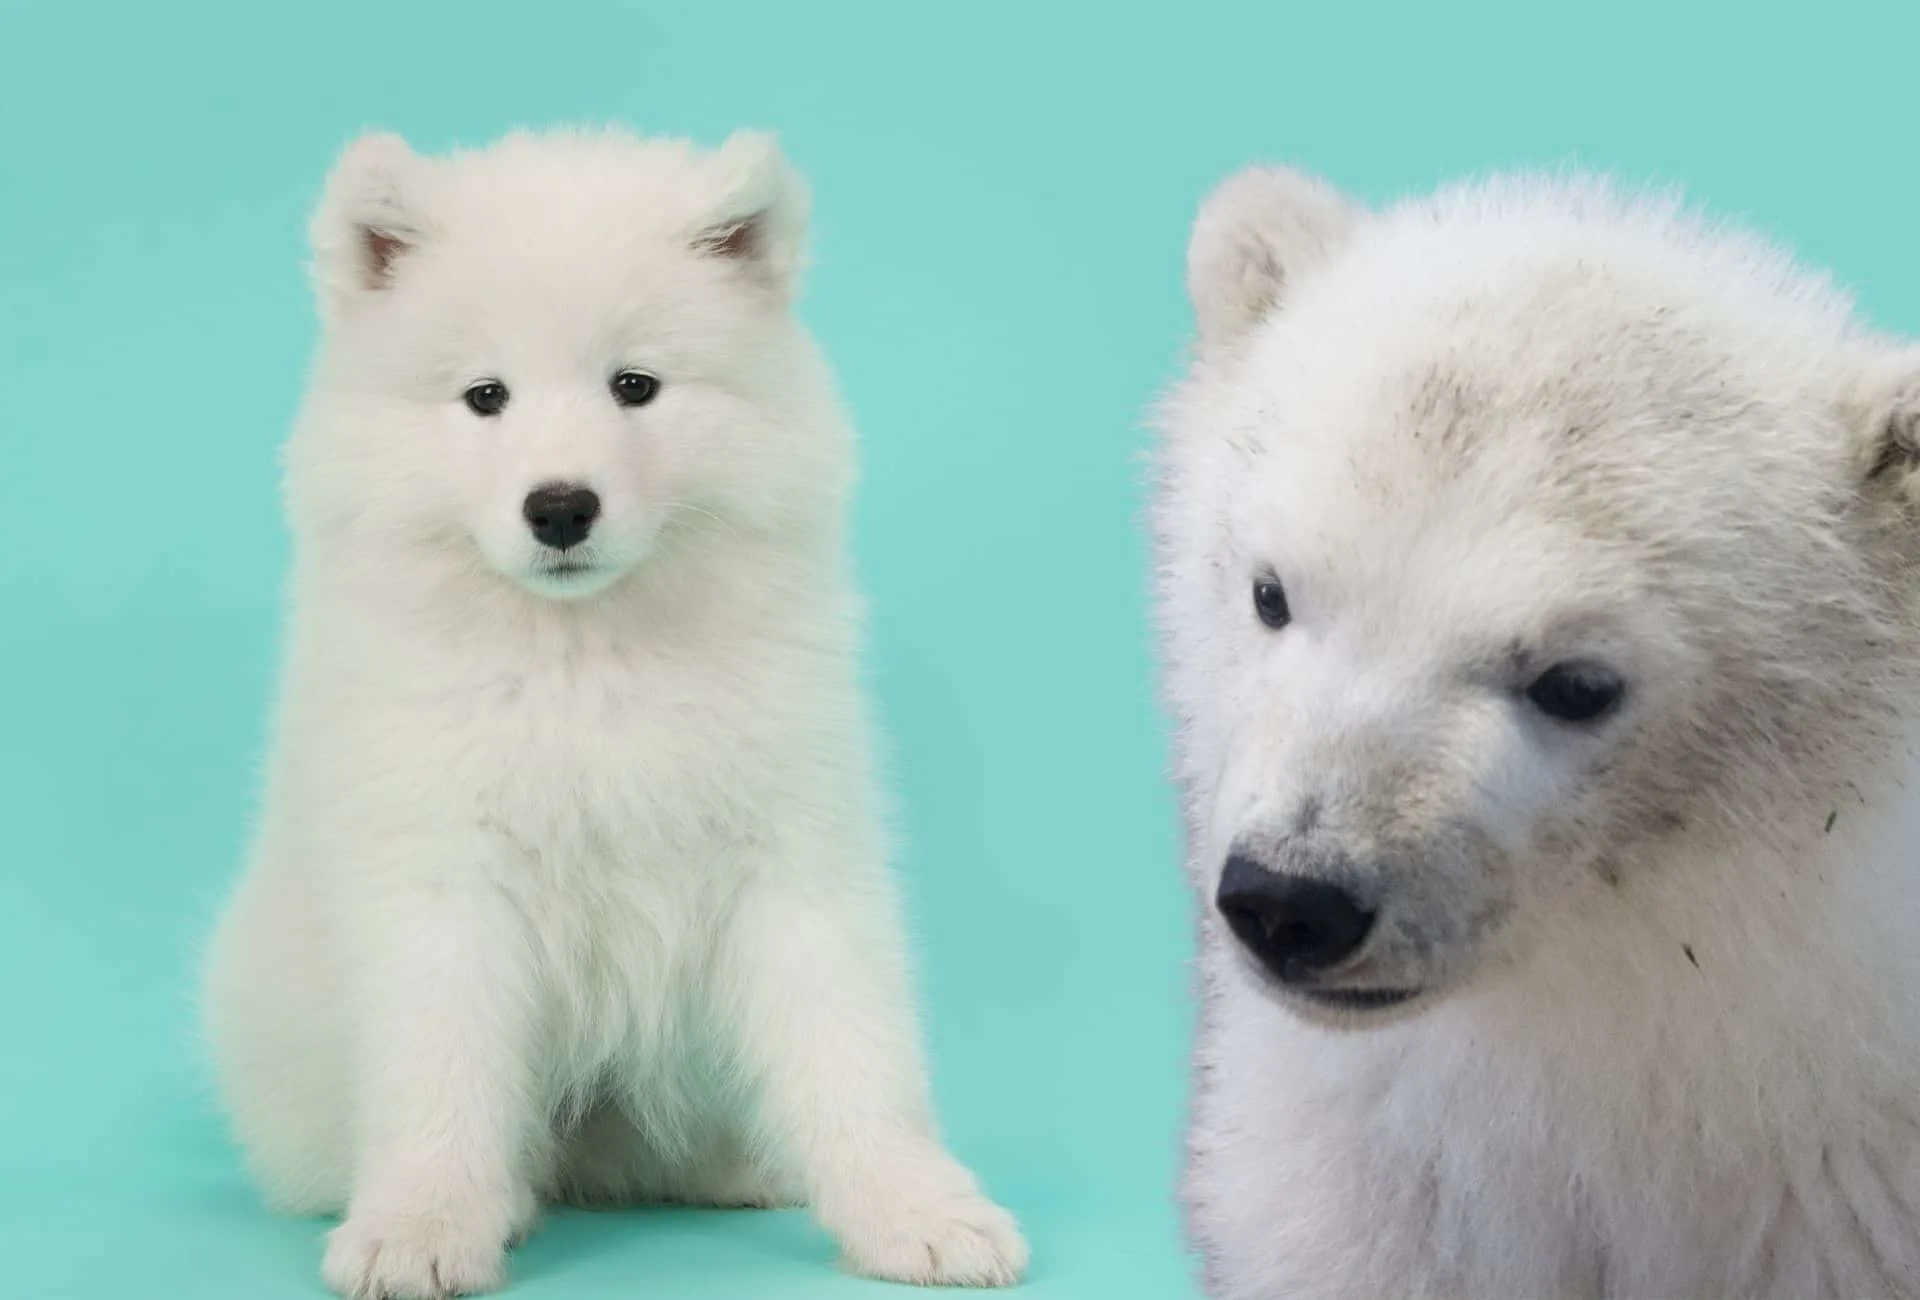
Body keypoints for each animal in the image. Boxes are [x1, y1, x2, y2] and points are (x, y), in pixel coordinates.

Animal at [202, 123, 1029, 1298]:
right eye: (485, 396)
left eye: (634, 385)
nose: (560, 506)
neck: (585, 656)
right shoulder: (445, 875)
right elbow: (442, 1068)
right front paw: (420, 1225)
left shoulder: (790, 856)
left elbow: (853, 1051)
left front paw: (917, 1210)